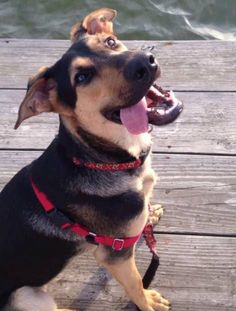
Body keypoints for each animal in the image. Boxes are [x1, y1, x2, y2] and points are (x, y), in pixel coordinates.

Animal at [0, 8, 174, 311]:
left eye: (110, 42)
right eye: (82, 77)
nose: (146, 60)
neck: (103, 158)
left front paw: (150, 214)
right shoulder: (115, 255)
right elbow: (136, 286)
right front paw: (149, 300)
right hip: (25, 295)